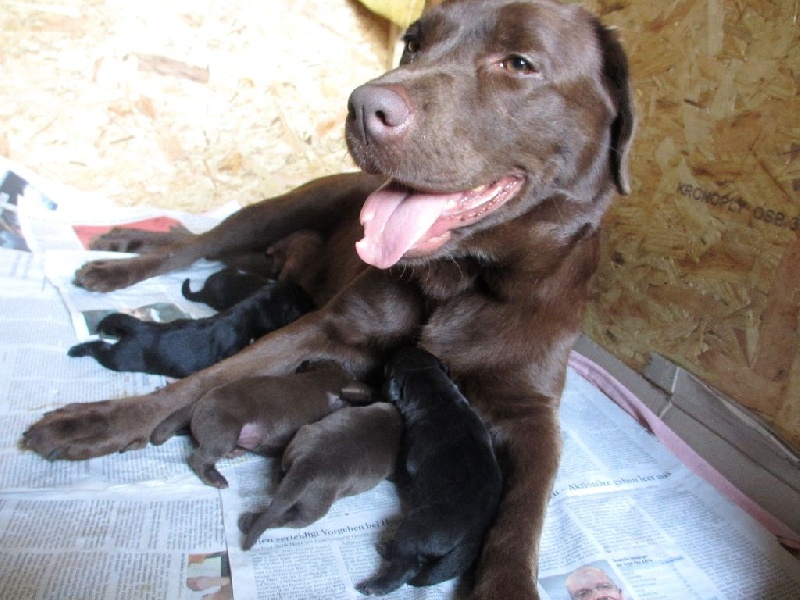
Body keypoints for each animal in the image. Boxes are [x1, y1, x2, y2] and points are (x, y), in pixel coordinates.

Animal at [67, 280, 316, 376]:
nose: (316, 304)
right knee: (100, 349)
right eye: (303, 301)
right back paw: (77, 349)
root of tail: (140, 327)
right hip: (121, 358)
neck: (253, 310)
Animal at [236, 400, 400, 552]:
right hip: (317, 506)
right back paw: (247, 522)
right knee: (289, 520)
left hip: (300, 439)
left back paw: (247, 521)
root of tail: (307, 464)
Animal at [356, 346, 500, 596]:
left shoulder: (409, 458)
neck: (438, 396)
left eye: (388, 364)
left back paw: (374, 583)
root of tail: (471, 539)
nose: (397, 347)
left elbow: (403, 471)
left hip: (412, 531)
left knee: (406, 568)